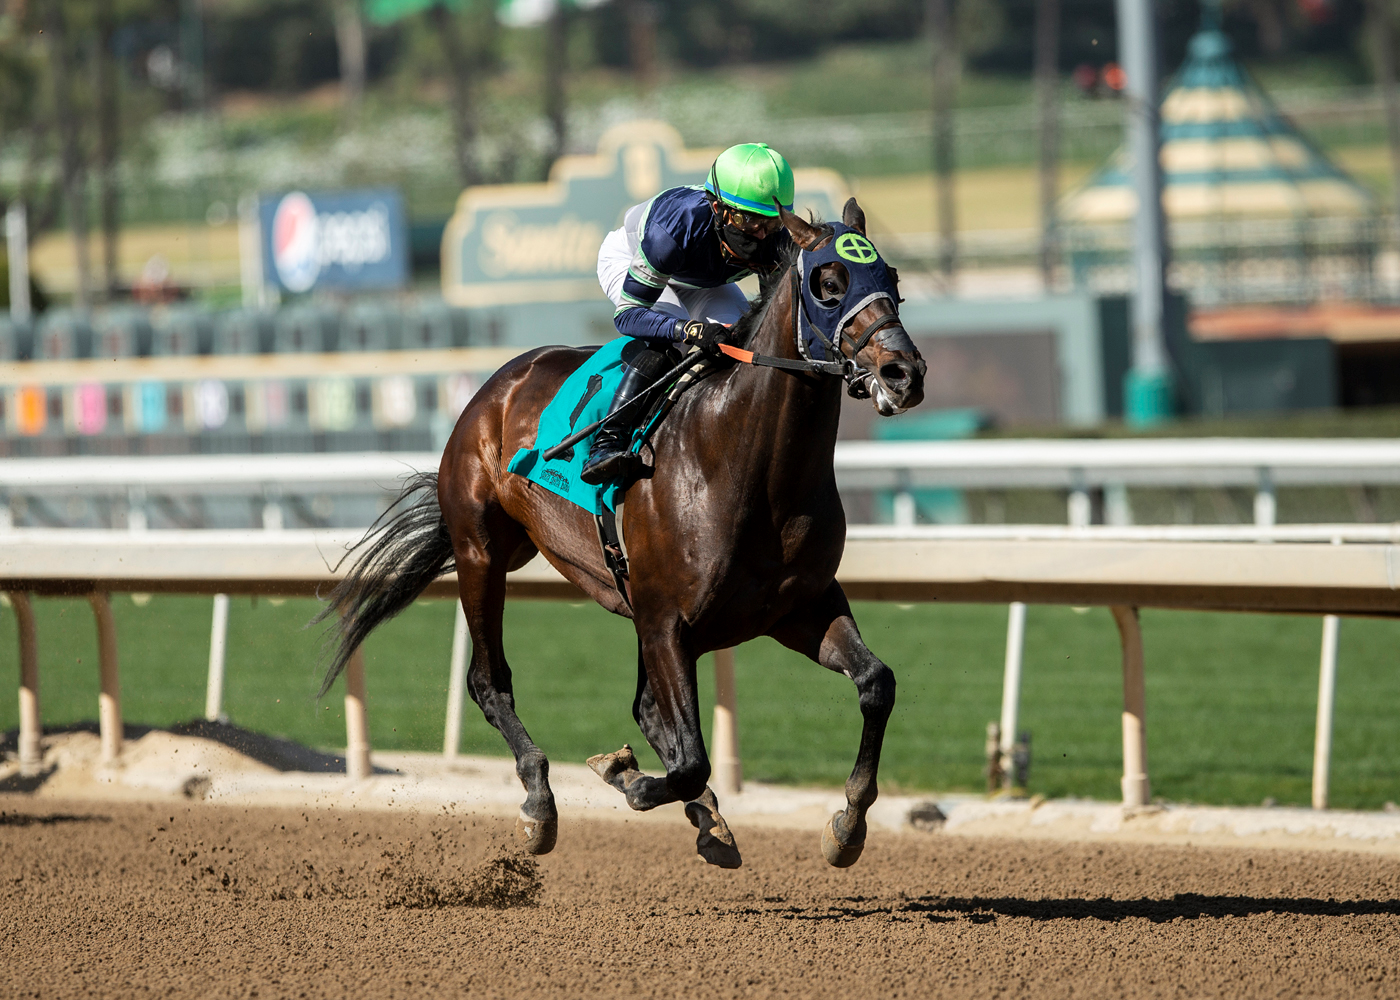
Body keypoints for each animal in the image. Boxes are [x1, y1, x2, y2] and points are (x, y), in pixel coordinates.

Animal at [320, 196, 924, 862]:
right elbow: (689, 760)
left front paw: (848, 824)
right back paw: (540, 801)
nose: (903, 373)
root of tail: (497, 384)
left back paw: (704, 817)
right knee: (489, 681)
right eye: (828, 284)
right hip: (481, 553)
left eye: (892, 279)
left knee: (649, 712)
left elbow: (877, 684)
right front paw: (626, 778)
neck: (750, 467)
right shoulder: (666, 622)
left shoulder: (797, 607)